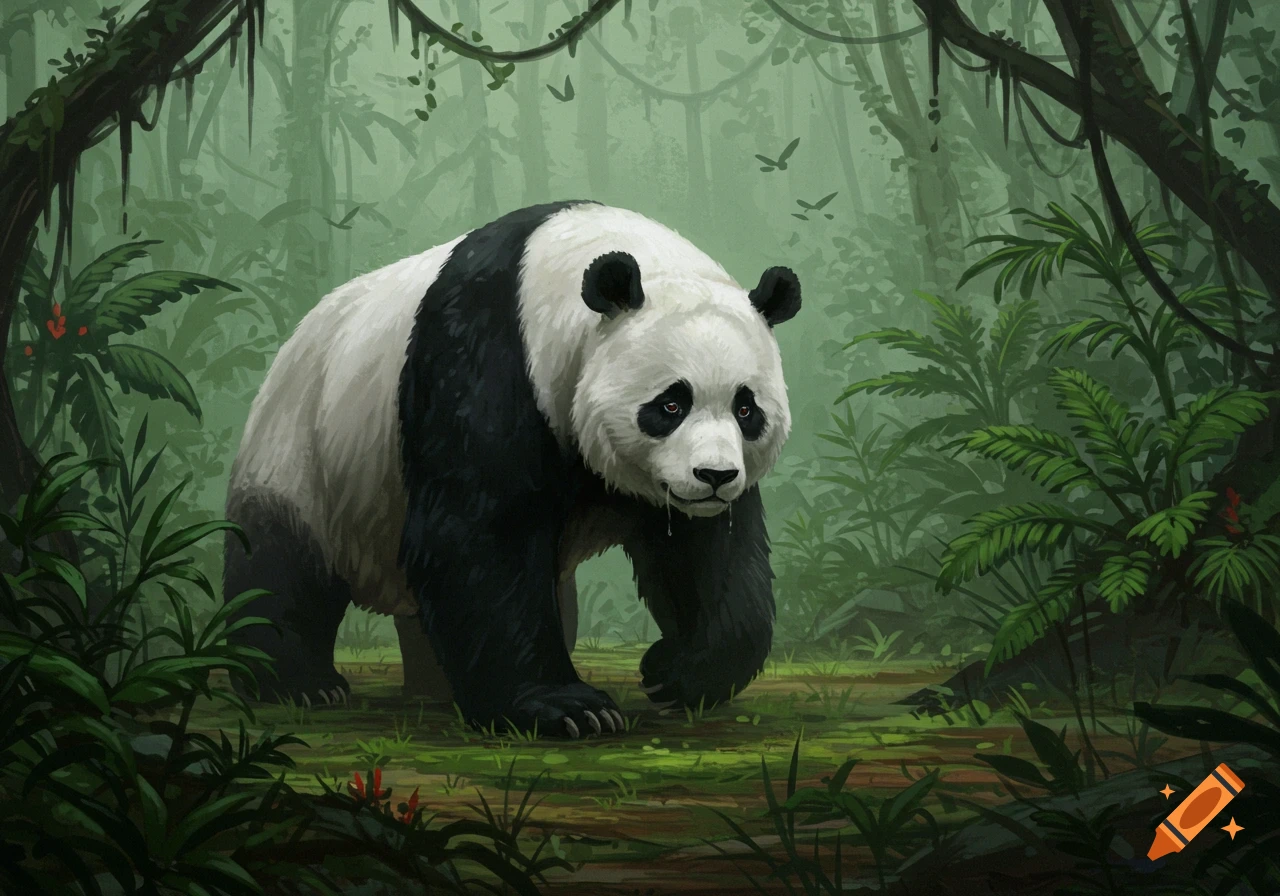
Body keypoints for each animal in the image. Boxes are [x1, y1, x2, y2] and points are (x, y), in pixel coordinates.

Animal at [223, 201, 800, 737]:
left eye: (746, 409)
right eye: (671, 404)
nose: (714, 477)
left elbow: (708, 554)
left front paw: (674, 673)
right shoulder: (486, 357)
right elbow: (479, 531)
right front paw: (566, 708)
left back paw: (433, 687)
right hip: (305, 453)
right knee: (279, 567)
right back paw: (302, 683)